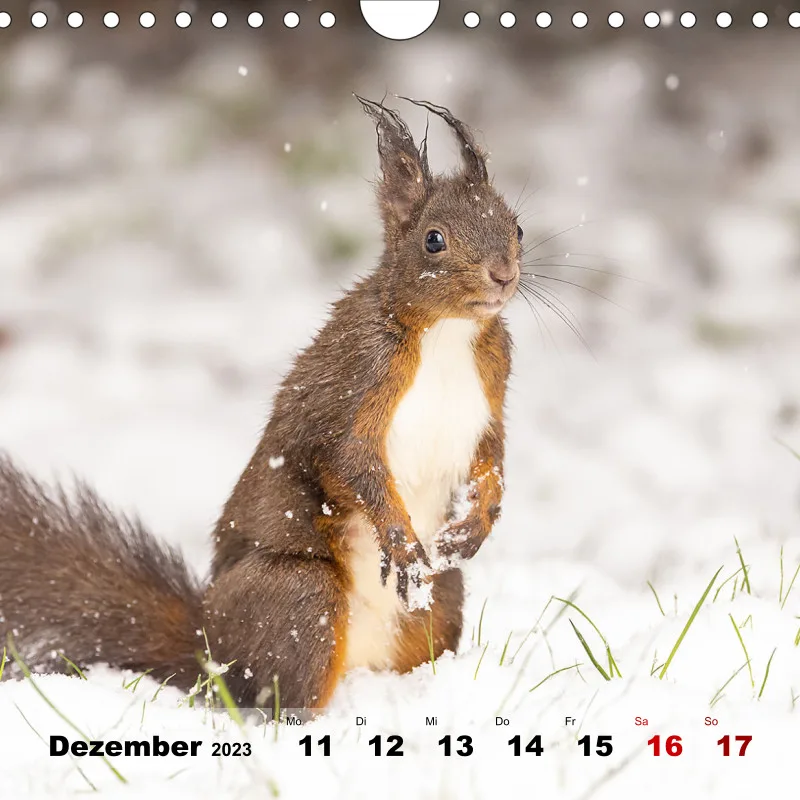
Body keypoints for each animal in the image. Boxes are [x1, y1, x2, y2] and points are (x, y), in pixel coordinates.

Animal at [0, 96, 521, 711]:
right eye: (433, 240)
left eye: (516, 225)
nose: (504, 275)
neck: (446, 334)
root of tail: (211, 647)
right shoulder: (352, 386)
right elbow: (348, 462)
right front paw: (400, 540)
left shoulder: (492, 388)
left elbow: (492, 456)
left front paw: (479, 522)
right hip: (298, 596)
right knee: (277, 692)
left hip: (443, 596)